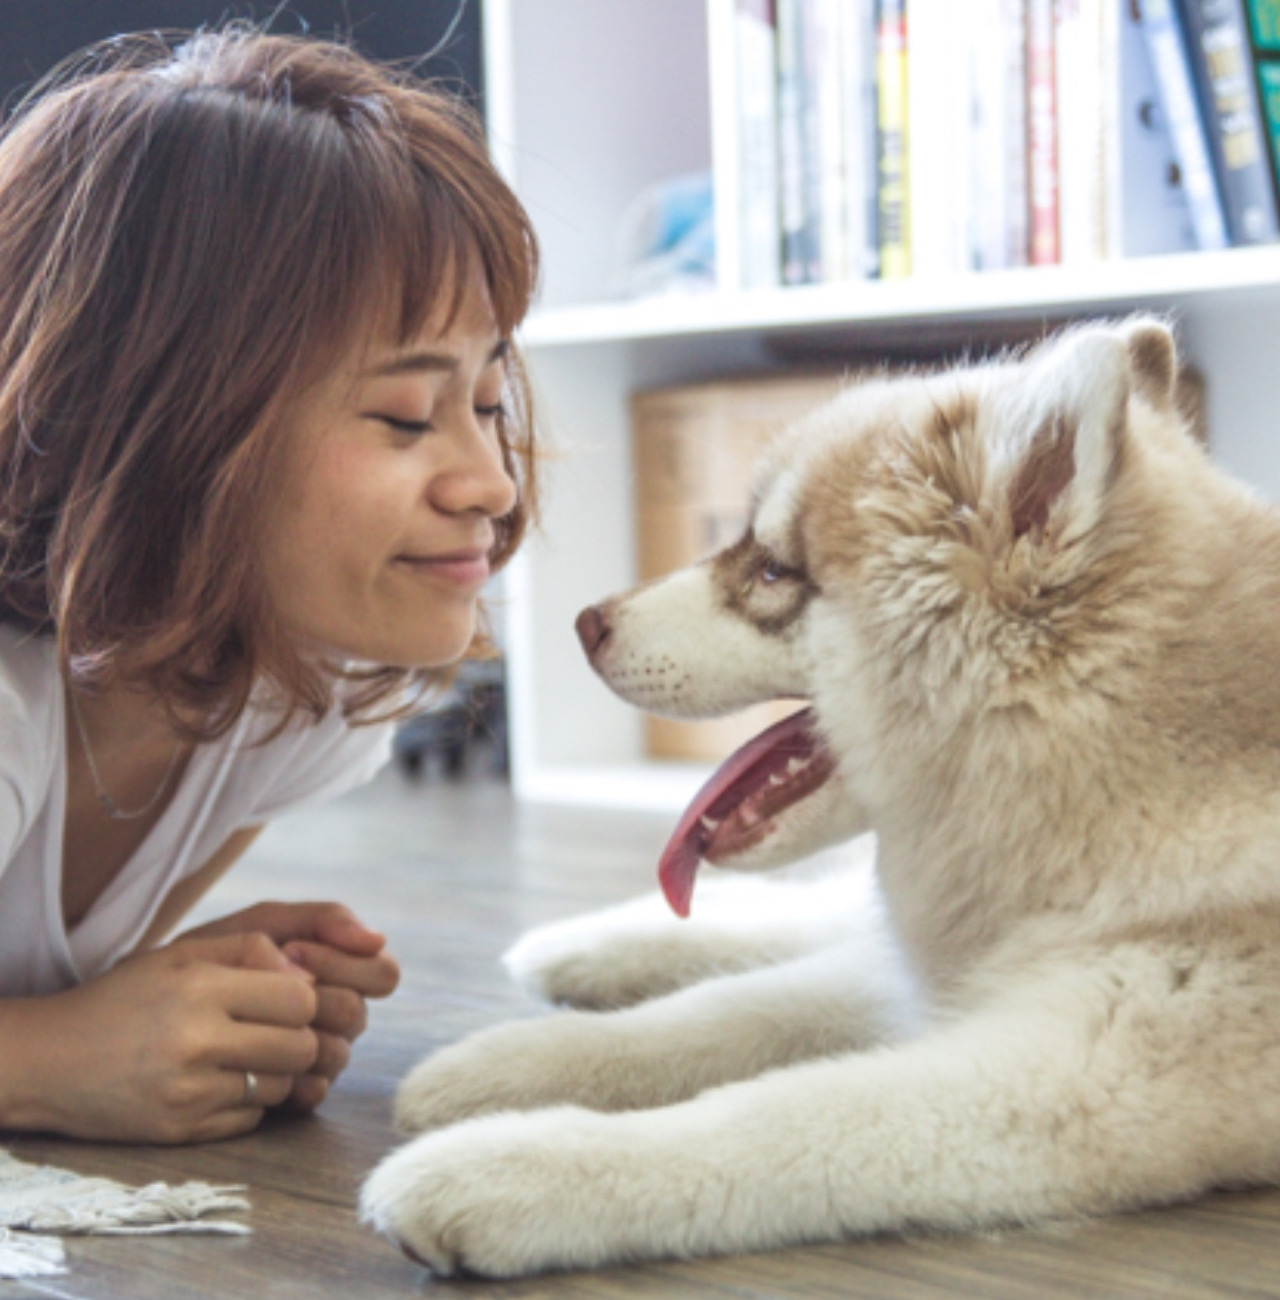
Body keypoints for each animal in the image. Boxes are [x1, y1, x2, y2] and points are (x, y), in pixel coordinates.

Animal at [353, 317, 1278, 1279]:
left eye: (771, 572)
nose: (584, 624)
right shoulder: (935, 984)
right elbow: (723, 1011)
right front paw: (506, 1062)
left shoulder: (1071, 1075)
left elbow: (767, 1117)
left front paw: (506, 1167)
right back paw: (582, 947)